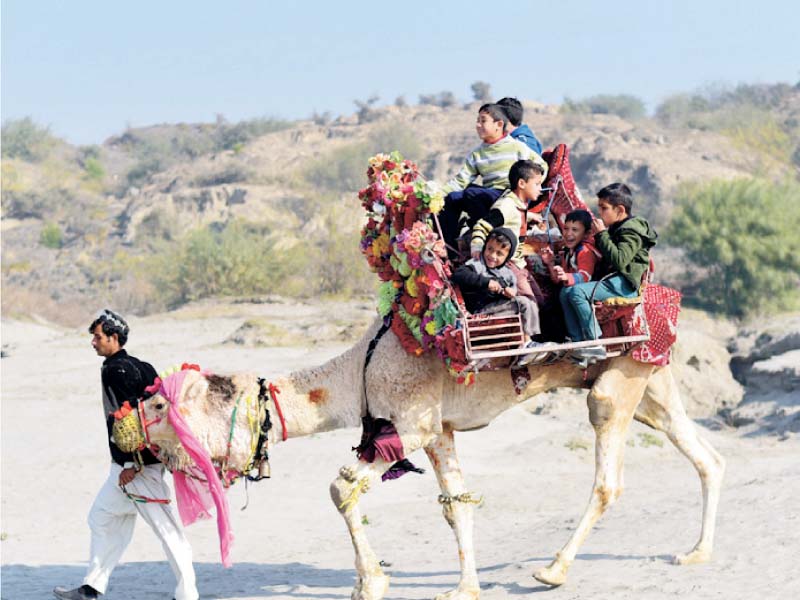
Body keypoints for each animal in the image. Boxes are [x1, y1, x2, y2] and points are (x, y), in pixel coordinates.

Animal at [139, 322, 724, 600]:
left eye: (166, 407)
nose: (134, 426)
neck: (360, 368)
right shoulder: (437, 431)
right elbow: (455, 504)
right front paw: (464, 587)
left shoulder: (411, 422)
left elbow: (341, 488)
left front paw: (370, 584)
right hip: (649, 376)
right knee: (706, 456)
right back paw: (696, 553)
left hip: (615, 383)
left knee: (609, 478)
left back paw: (553, 570)